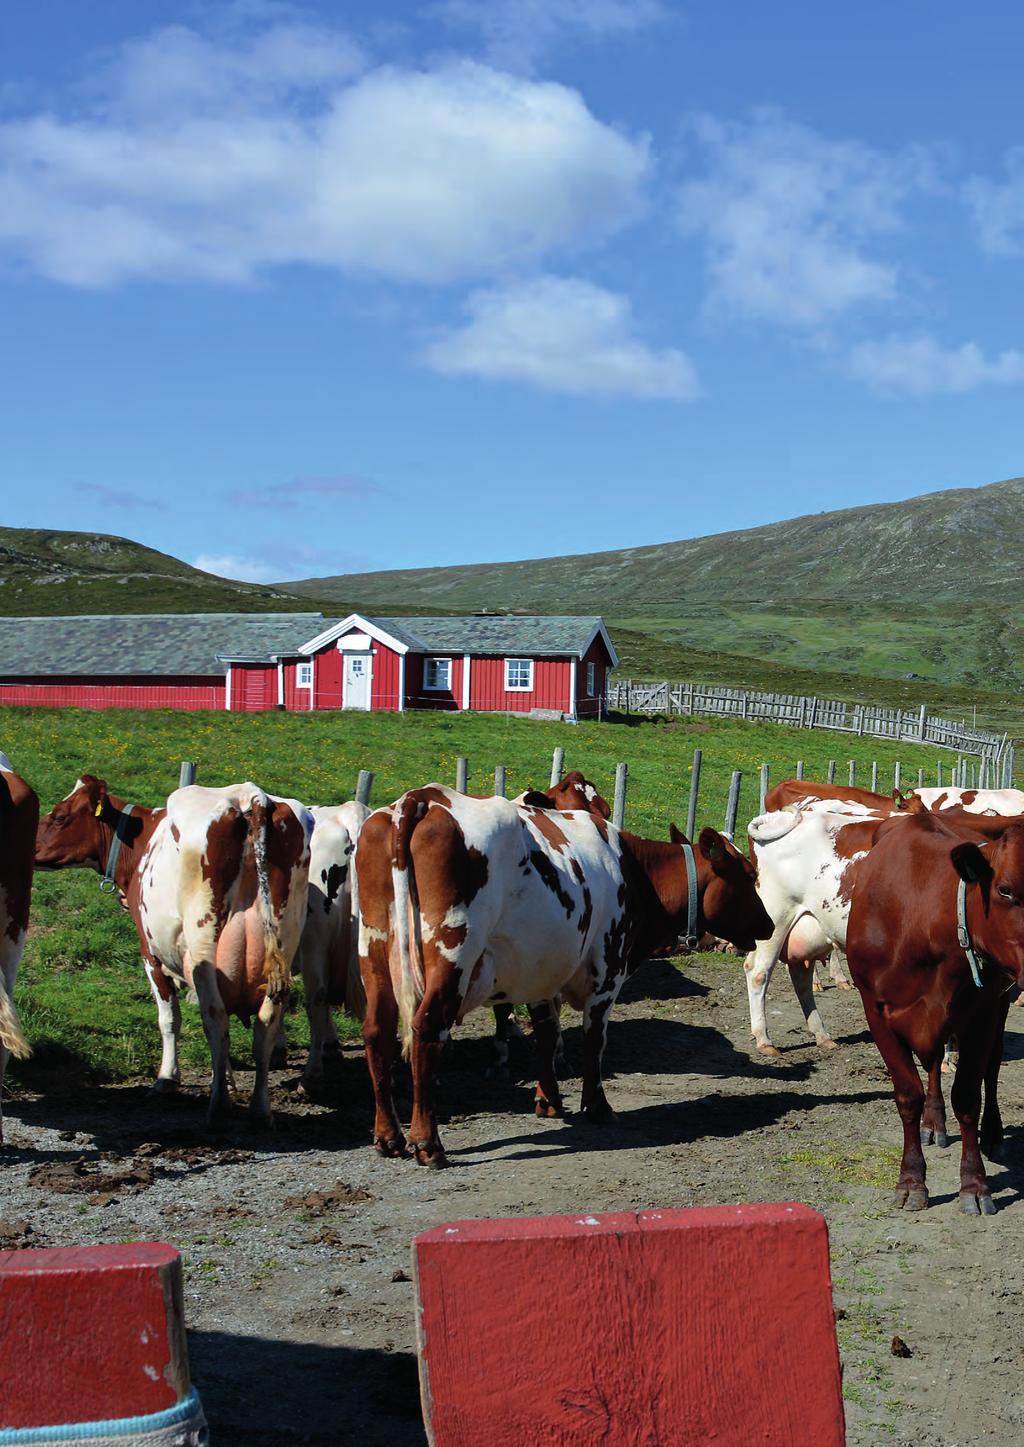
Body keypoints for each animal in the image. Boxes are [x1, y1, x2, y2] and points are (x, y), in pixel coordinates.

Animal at [35, 775, 309, 1122]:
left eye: (59, 816)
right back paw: (260, 1108)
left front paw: (167, 1078)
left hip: (204, 942)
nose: (30, 844)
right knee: (266, 1025)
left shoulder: (150, 954)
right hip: (283, 944)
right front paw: (226, 1078)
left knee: (215, 1017)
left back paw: (218, 1105)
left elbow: (169, 1019)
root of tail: (250, 796)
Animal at [355, 787, 763, 1169]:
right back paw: (428, 1143)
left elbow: (547, 1035)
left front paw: (548, 1099)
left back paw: (388, 1136)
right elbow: (594, 1040)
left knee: (377, 1031)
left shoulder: (539, 967)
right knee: (426, 1029)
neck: (634, 870)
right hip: (452, 952)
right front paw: (596, 1106)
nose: (769, 924)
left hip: (373, 949)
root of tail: (420, 799)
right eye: (749, 876)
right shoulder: (607, 971)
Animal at [844, 816, 1024, 1209]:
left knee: (990, 1065)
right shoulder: (876, 1011)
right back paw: (933, 1122)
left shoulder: (983, 1013)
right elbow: (908, 1096)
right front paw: (911, 1180)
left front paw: (974, 1185)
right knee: (933, 1063)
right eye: (1004, 890)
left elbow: (968, 1097)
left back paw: (992, 1133)